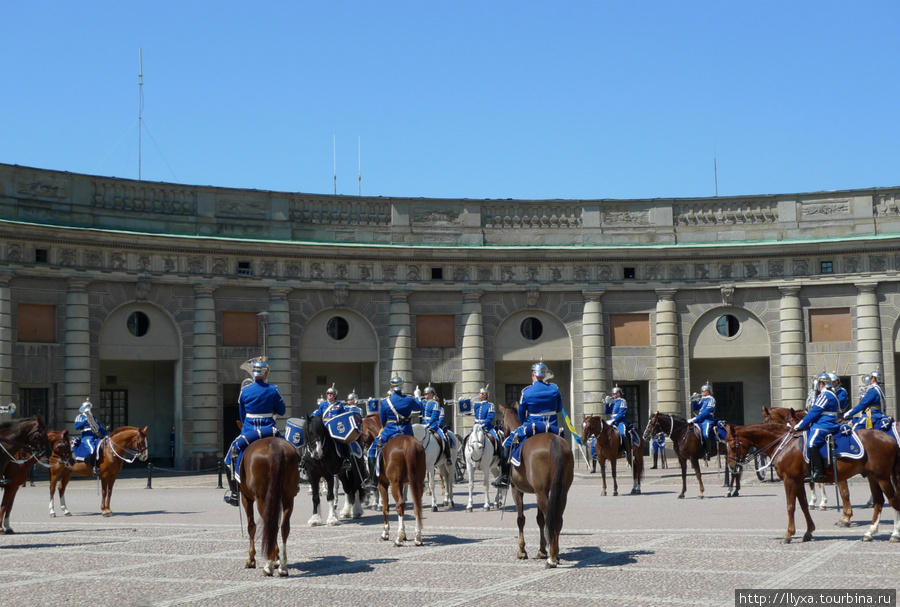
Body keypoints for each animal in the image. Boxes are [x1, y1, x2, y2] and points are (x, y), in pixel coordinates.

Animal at [239, 434, 298, 576]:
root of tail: (275, 447)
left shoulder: (246, 498)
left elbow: (251, 526)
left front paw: (251, 559)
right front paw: (277, 559)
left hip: (262, 499)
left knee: (269, 524)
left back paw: (268, 565)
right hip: (288, 498)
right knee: (283, 526)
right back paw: (283, 566)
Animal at [500, 404, 576, 568]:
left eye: (501, 421)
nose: (503, 433)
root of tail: (554, 440)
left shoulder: (517, 490)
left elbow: (521, 519)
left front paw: (522, 551)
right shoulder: (540, 492)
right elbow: (539, 519)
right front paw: (541, 550)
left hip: (540, 492)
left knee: (550, 518)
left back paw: (552, 558)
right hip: (561, 492)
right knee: (557, 518)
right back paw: (555, 554)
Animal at [724, 422, 900, 548]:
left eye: (732, 446)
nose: (732, 467)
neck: (784, 445)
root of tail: (890, 439)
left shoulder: (789, 480)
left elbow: (790, 506)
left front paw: (788, 534)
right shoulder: (798, 481)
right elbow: (803, 506)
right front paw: (808, 531)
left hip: (882, 478)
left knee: (893, 501)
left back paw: (895, 534)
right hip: (872, 478)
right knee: (879, 501)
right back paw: (870, 533)